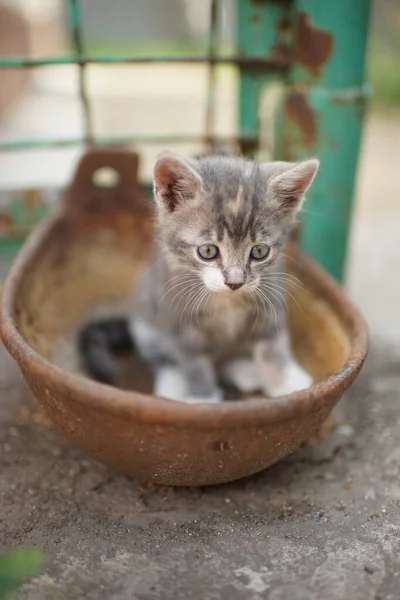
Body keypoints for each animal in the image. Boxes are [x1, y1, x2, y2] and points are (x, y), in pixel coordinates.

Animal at [79, 152, 320, 404]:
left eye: (259, 251)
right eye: (207, 251)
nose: (235, 282)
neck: (226, 299)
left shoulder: (270, 297)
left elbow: (272, 343)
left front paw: (283, 385)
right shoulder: (179, 315)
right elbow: (193, 360)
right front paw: (203, 398)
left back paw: (244, 370)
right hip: (145, 324)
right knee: (163, 359)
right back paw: (173, 385)